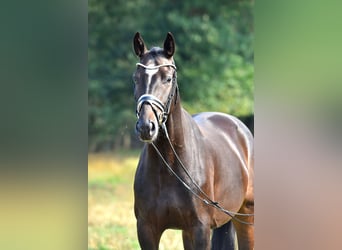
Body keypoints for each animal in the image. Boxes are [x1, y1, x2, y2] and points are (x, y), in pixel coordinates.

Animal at [132, 32, 252, 249]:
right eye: (135, 78)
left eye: (168, 78)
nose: (146, 126)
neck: (169, 165)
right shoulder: (147, 230)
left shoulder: (200, 229)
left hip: (245, 217)